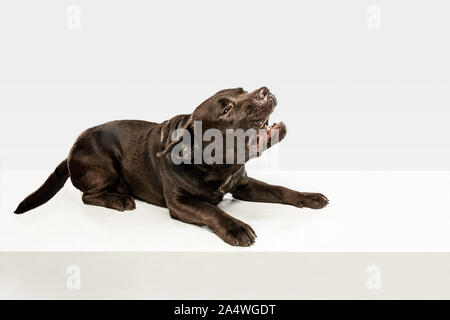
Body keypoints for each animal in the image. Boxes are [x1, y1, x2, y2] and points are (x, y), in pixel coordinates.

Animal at [13, 87, 326, 248]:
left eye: (243, 90)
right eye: (226, 109)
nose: (264, 91)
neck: (217, 167)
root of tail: (70, 150)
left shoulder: (242, 184)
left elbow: (279, 189)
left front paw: (308, 196)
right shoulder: (179, 203)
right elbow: (211, 210)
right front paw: (235, 227)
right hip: (105, 164)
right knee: (87, 196)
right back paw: (120, 199)